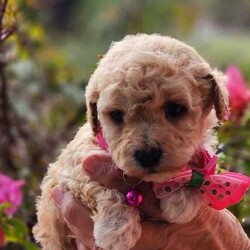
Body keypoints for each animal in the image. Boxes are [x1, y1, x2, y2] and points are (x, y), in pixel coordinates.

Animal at [32, 33, 248, 250]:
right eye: (116, 115)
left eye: (175, 109)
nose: (147, 156)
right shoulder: (71, 171)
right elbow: (96, 186)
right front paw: (115, 228)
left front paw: (182, 198)